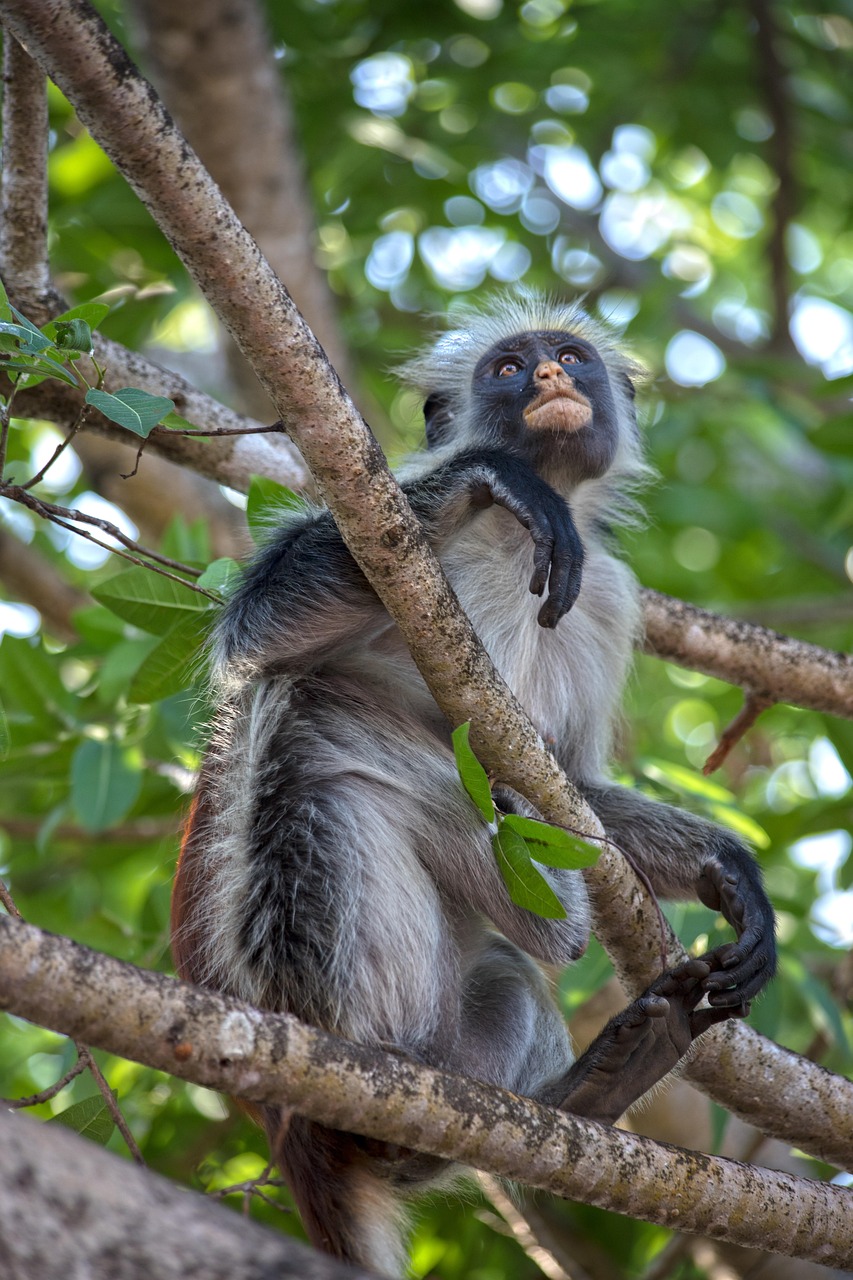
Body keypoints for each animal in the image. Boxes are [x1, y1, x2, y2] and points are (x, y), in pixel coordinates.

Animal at [172, 293, 776, 1277]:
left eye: (570, 354)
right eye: (506, 368)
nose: (550, 376)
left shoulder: (608, 594)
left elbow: (578, 788)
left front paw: (731, 877)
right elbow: (257, 637)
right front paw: (496, 476)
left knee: (499, 984)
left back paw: (591, 1080)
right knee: (300, 705)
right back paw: (549, 921)